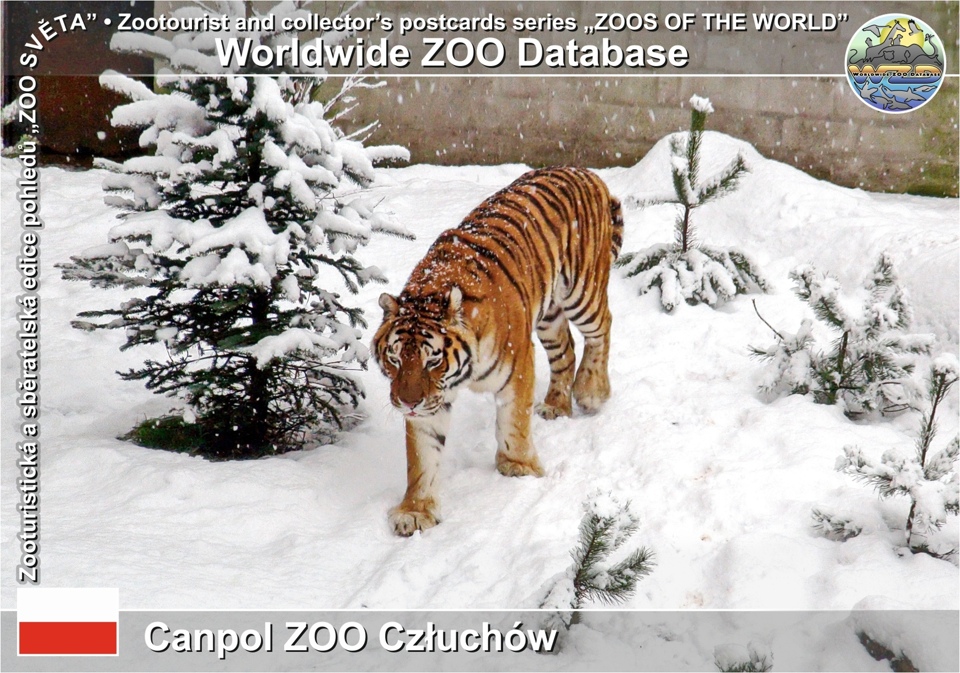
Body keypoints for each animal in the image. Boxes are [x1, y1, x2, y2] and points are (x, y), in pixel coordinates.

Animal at [372, 166, 624, 536]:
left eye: (433, 360)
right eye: (394, 358)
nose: (408, 403)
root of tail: (587, 172)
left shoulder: (517, 365)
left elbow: (512, 423)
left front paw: (518, 467)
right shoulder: (431, 403)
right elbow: (422, 456)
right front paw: (415, 511)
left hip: (582, 291)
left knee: (602, 326)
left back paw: (592, 391)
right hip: (549, 316)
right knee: (566, 350)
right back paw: (556, 406)